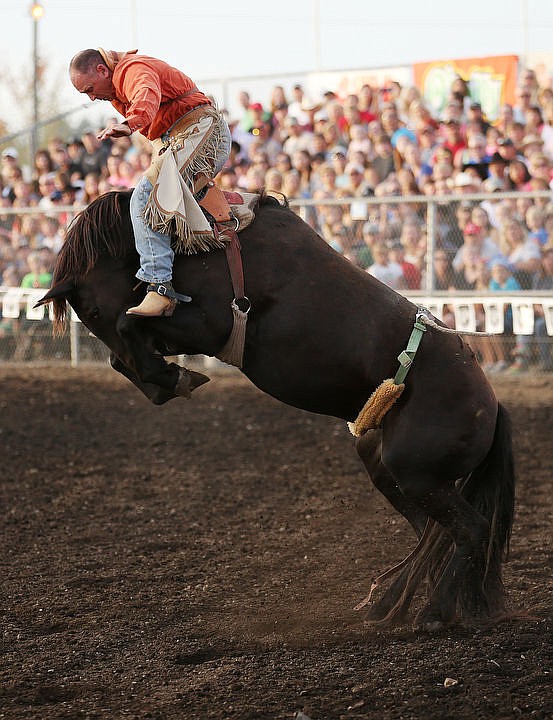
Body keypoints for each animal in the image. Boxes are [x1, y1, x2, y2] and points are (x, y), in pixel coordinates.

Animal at [37, 190, 512, 624]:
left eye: (91, 310)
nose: (156, 393)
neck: (209, 247)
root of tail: (492, 407)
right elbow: (124, 352)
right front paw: (167, 378)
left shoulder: (208, 324)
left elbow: (127, 324)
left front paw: (170, 378)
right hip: (396, 472)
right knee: (436, 533)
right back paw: (394, 606)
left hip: (416, 472)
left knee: (470, 530)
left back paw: (433, 612)